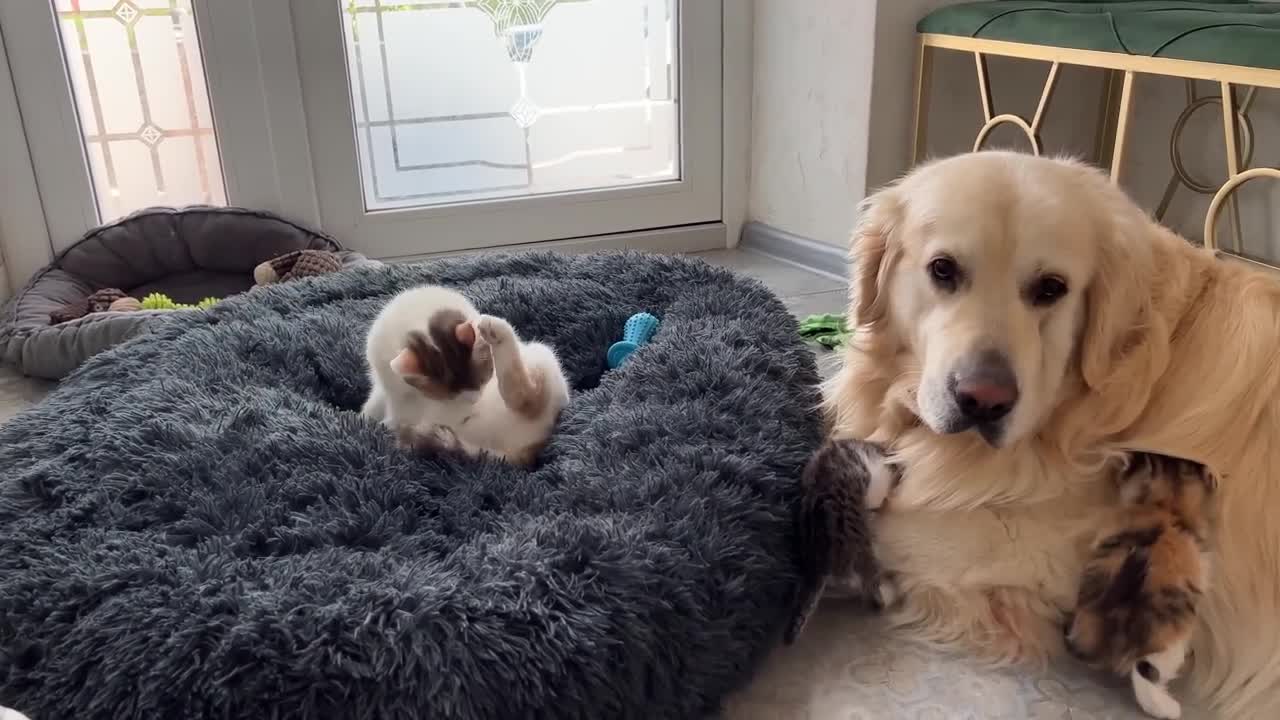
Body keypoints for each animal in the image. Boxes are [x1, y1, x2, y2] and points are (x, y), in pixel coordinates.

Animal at [366, 283, 576, 461]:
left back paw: (496, 331)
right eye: (448, 393)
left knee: (526, 397)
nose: (473, 400)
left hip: (544, 359)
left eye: (484, 377)